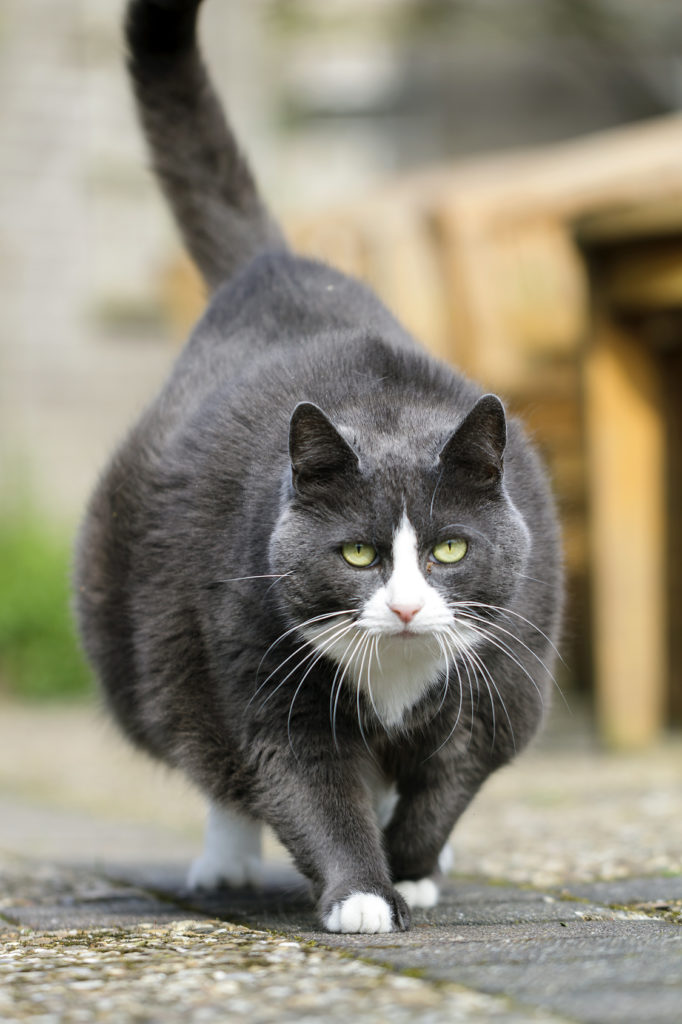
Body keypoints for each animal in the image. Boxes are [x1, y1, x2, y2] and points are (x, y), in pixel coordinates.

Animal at [74, 0, 561, 933]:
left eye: (449, 549)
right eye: (358, 554)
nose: (404, 607)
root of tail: (278, 266)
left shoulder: (502, 680)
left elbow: (445, 788)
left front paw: (412, 870)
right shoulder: (263, 671)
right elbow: (305, 787)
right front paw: (363, 895)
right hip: (149, 637)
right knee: (208, 756)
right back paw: (225, 864)